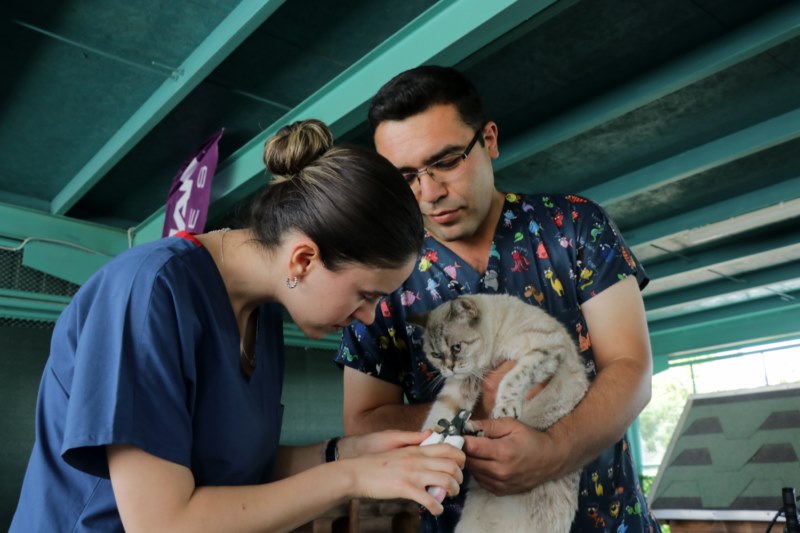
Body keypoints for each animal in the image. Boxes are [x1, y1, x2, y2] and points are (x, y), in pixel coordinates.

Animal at [412, 294, 588, 528]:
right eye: (435, 354)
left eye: (456, 347)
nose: (448, 368)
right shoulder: (462, 381)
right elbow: (440, 412)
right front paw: (427, 453)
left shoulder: (546, 349)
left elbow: (513, 377)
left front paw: (504, 407)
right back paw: (471, 429)